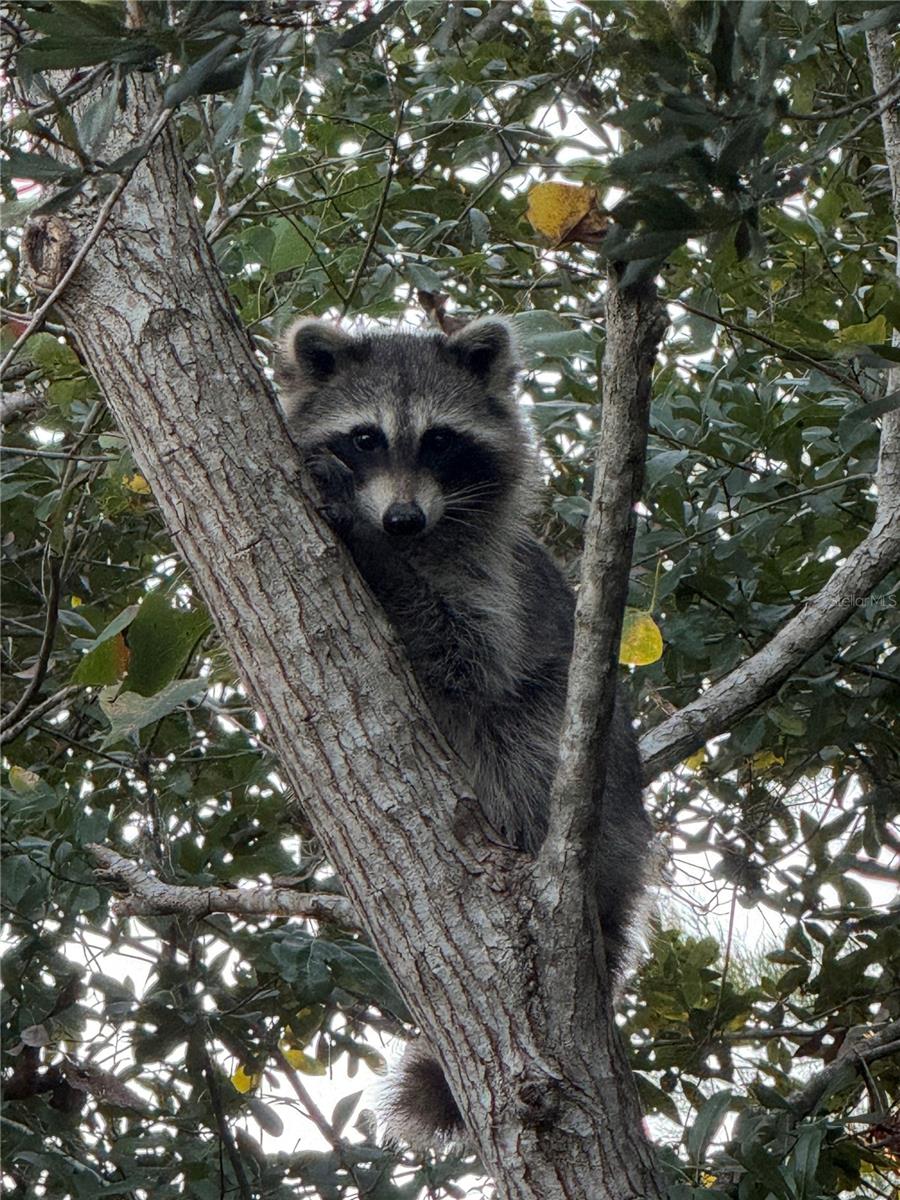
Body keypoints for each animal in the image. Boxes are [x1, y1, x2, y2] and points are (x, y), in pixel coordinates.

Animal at [276, 316, 651, 1145]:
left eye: (441, 440)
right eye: (366, 438)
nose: (399, 520)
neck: (427, 534)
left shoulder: (493, 581)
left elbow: (470, 661)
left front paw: (369, 546)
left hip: (581, 766)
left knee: (518, 733)